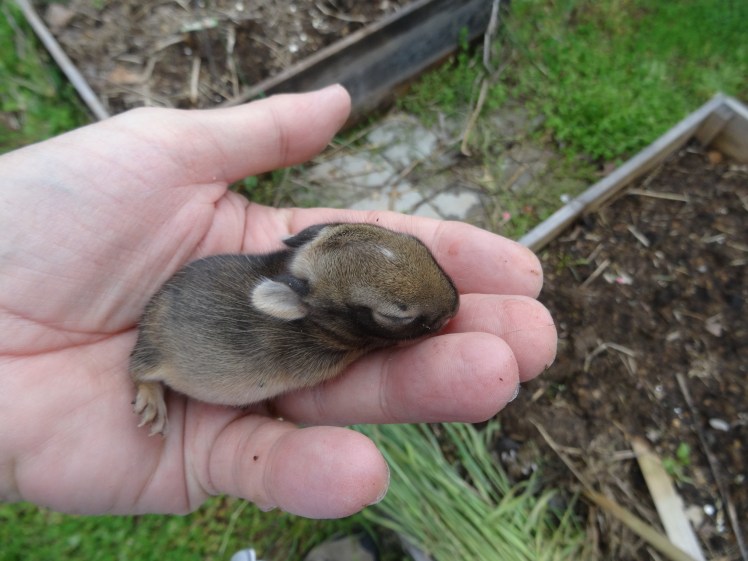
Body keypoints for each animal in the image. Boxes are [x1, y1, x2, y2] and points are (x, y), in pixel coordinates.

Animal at [129, 221, 458, 436]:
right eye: (395, 316)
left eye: (418, 243)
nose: (454, 307)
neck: (317, 321)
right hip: (154, 354)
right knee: (136, 372)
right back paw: (151, 403)